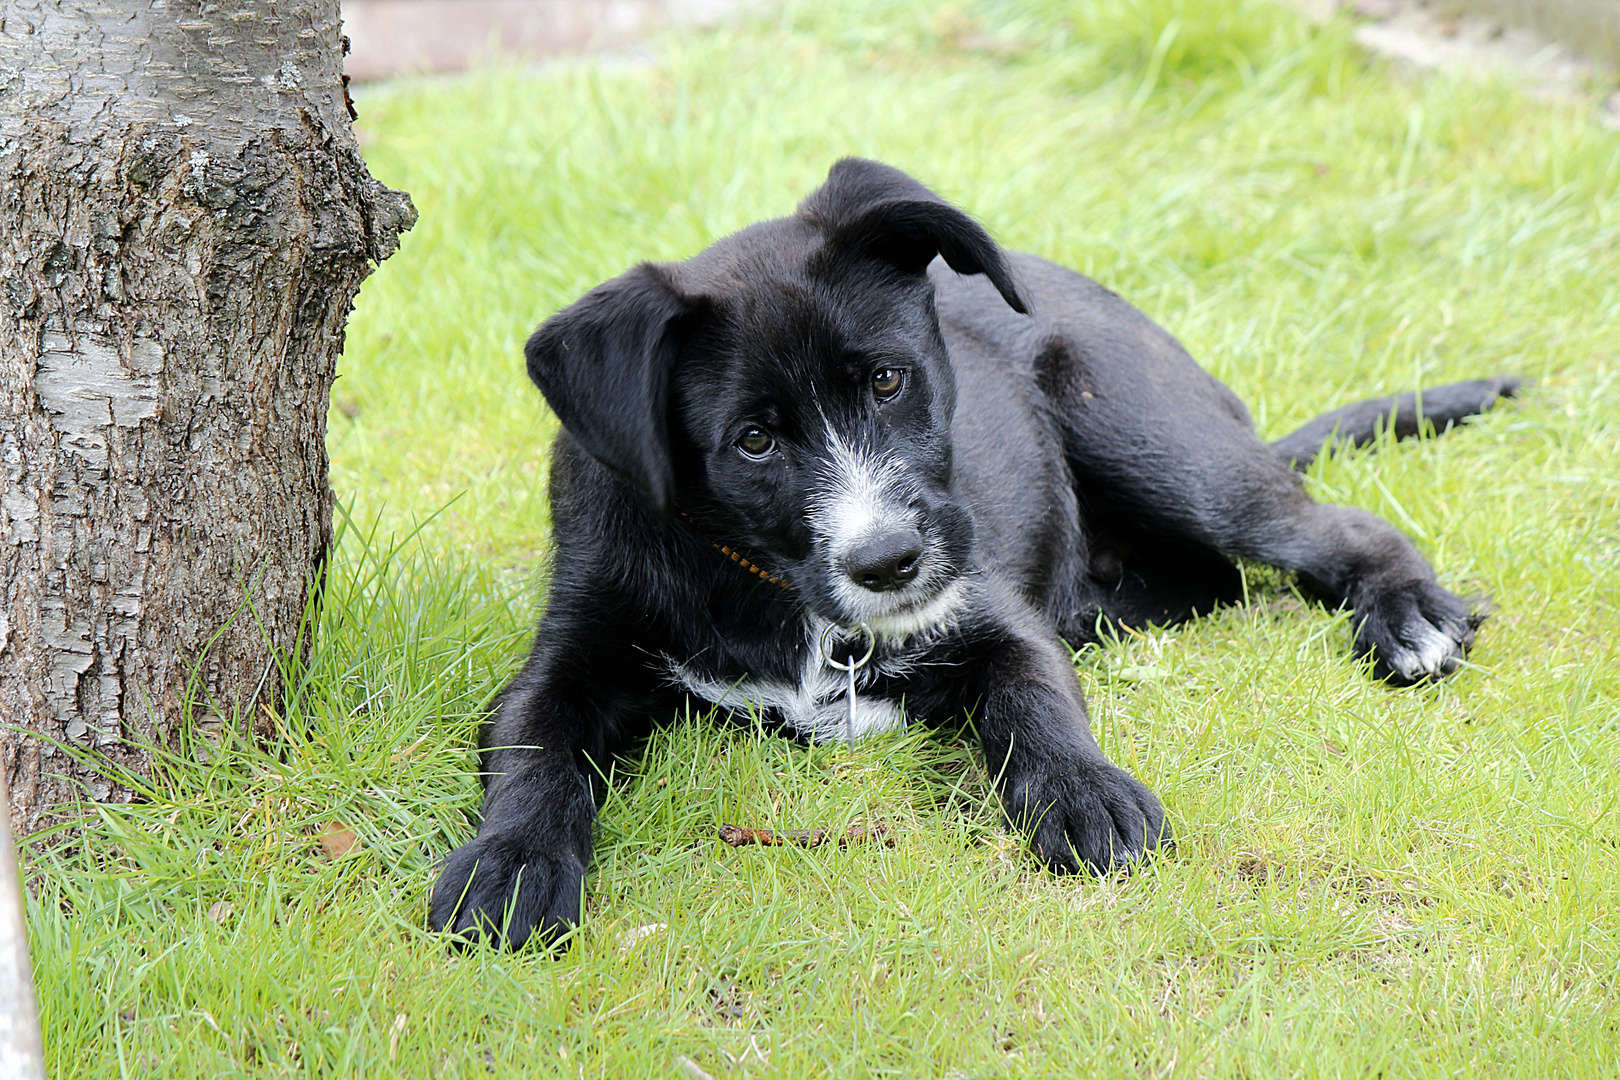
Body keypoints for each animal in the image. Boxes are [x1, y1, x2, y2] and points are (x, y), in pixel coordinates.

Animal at [434, 158, 1516, 945]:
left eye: (887, 380)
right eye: (753, 441)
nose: (892, 564)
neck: (776, 590)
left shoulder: (990, 613)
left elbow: (1031, 699)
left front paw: (1086, 795)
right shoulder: (572, 648)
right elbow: (536, 741)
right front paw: (512, 863)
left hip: (1146, 432)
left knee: (1331, 528)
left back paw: (1408, 616)